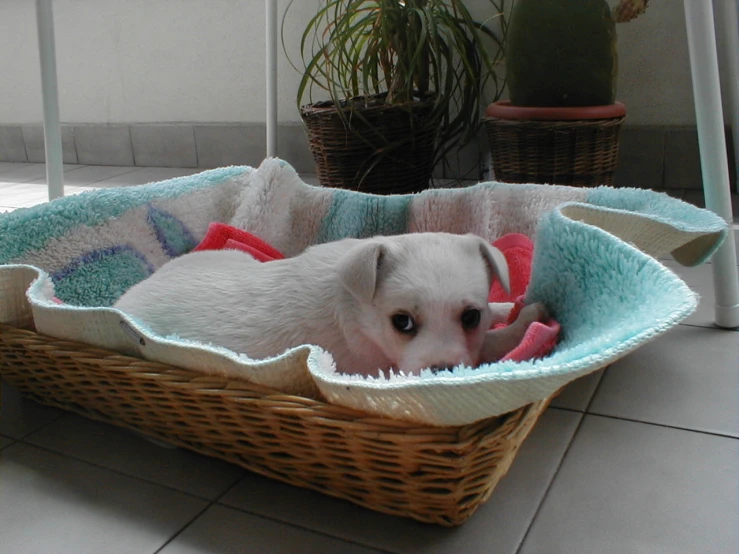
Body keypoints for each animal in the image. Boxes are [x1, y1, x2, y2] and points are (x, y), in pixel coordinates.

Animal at [112, 233, 548, 376]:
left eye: (470, 315)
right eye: (402, 322)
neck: (357, 306)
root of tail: (120, 300)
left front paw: (512, 304)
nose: (442, 372)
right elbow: (493, 344)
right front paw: (528, 316)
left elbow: (493, 317)